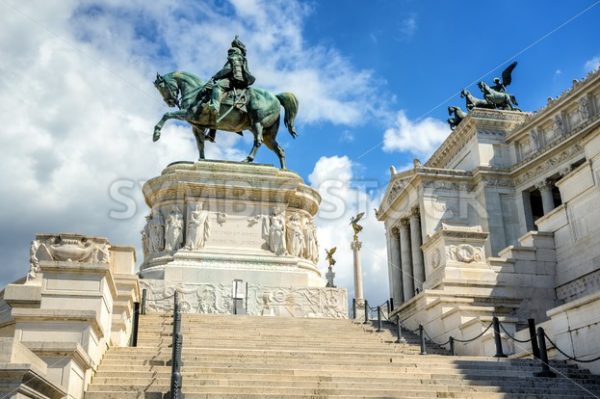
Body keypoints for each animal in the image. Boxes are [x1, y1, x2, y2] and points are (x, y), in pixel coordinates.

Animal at [152, 72, 298, 169]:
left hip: (258, 123)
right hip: (269, 134)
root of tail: (276, 97)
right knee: (279, 150)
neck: (196, 93)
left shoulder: (189, 114)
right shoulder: (197, 126)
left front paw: (156, 134)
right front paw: (202, 160)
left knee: (258, 141)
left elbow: (166, 115)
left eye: (161, 87)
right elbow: (200, 144)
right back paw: (284, 171)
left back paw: (247, 160)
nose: (170, 102)